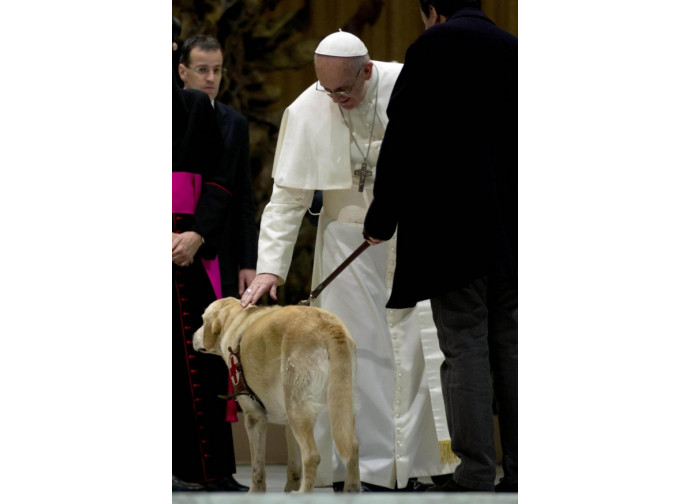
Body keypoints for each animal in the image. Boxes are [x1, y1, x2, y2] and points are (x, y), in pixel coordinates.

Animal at [191, 300, 358, 492]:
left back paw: (303, 493)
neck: (236, 320)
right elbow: (293, 466)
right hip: (339, 408)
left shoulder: (254, 416)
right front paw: (288, 490)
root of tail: (327, 325)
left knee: (312, 455)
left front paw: (255, 492)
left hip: (297, 410)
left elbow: (257, 467)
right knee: (353, 447)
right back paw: (352, 489)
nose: (192, 336)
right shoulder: (288, 426)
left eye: (203, 320)